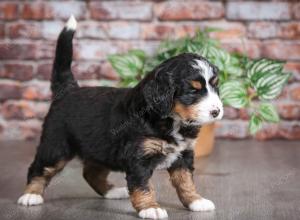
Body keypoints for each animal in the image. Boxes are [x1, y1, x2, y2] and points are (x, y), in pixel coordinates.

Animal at [16, 16, 223, 219]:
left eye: (215, 86)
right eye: (192, 91)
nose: (217, 111)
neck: (172, 120)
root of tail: (68, 90)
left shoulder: (183, 155)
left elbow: (185, 181)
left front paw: (196, 200)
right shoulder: (139, 157)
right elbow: (143, 186)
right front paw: (151, 208)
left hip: (100, 149)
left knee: (91, 173)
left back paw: (112, 192)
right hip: (56, 146)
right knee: (39, 168)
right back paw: (31, 195)